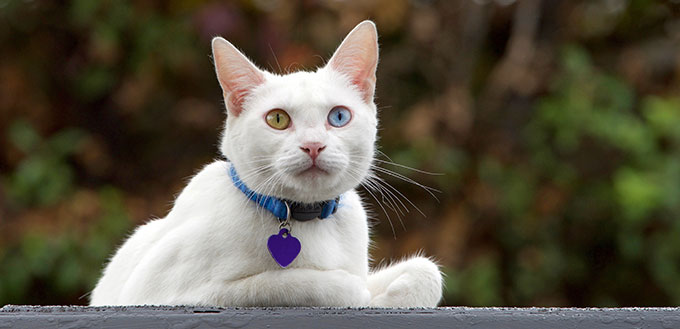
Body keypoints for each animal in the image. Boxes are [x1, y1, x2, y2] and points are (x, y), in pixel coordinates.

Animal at [89, 20, 440, 306]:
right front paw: (354, 291)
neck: (305, 219)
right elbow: (277, 283)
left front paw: (390, 295)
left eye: (339, 117)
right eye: (277, 119)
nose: (313, 145)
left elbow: (428, 271)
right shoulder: (162, 293)